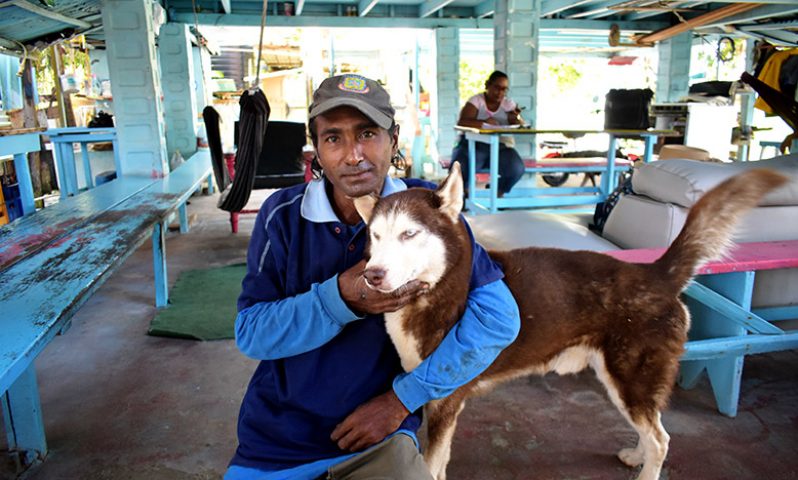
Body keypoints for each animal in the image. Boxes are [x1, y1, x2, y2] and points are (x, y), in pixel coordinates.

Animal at [354, 164, 788, 480]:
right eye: (374, 236)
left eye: (410, 234)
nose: (372, 276)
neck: (437, 288)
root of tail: (655, 272)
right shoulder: (437, 399)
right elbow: (438, 464)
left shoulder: (445, 399)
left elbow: (432, 463)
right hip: (622, 383)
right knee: (652, 431)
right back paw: (636, 454)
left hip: (629, 379)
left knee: (662, 439)